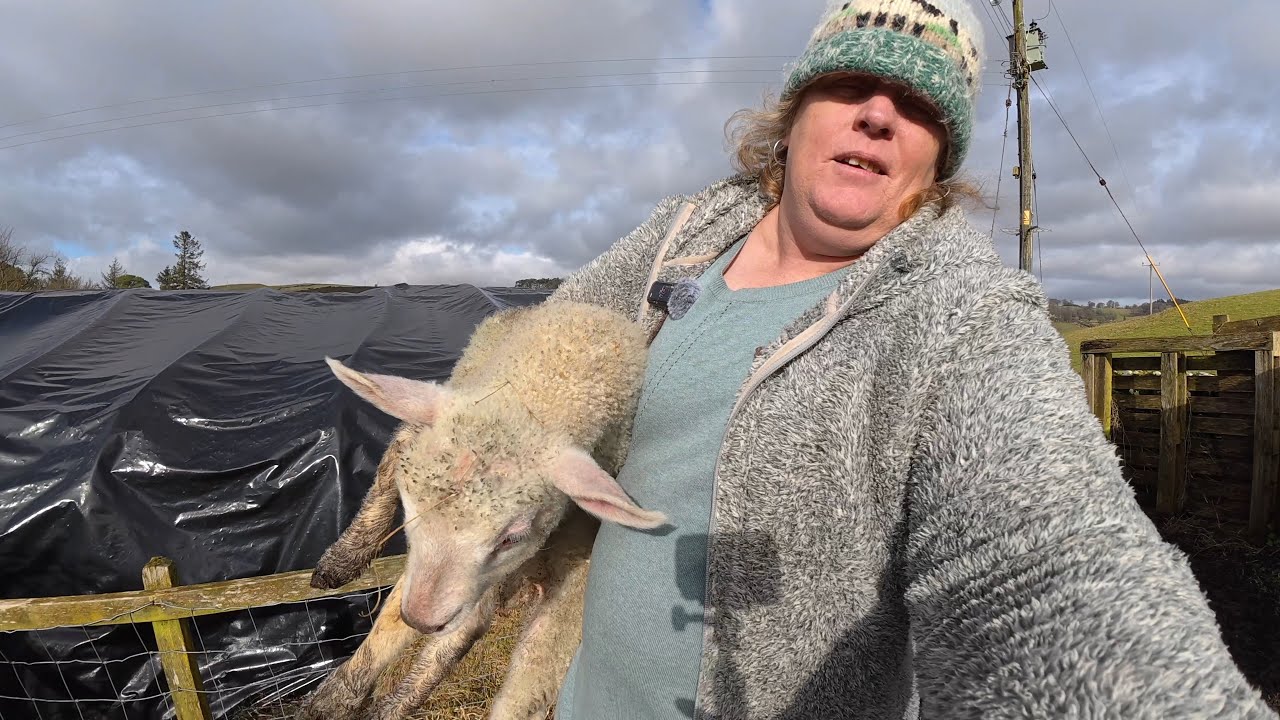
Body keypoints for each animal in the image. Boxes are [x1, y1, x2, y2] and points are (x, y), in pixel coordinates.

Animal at [294, 299, 663, 720]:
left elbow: (527, 669)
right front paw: (337, 695)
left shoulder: (563, 563)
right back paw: (343, 558)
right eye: (410, 506)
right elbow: (391, 619)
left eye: (511, 537)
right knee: (397, 448)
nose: (421, 619)